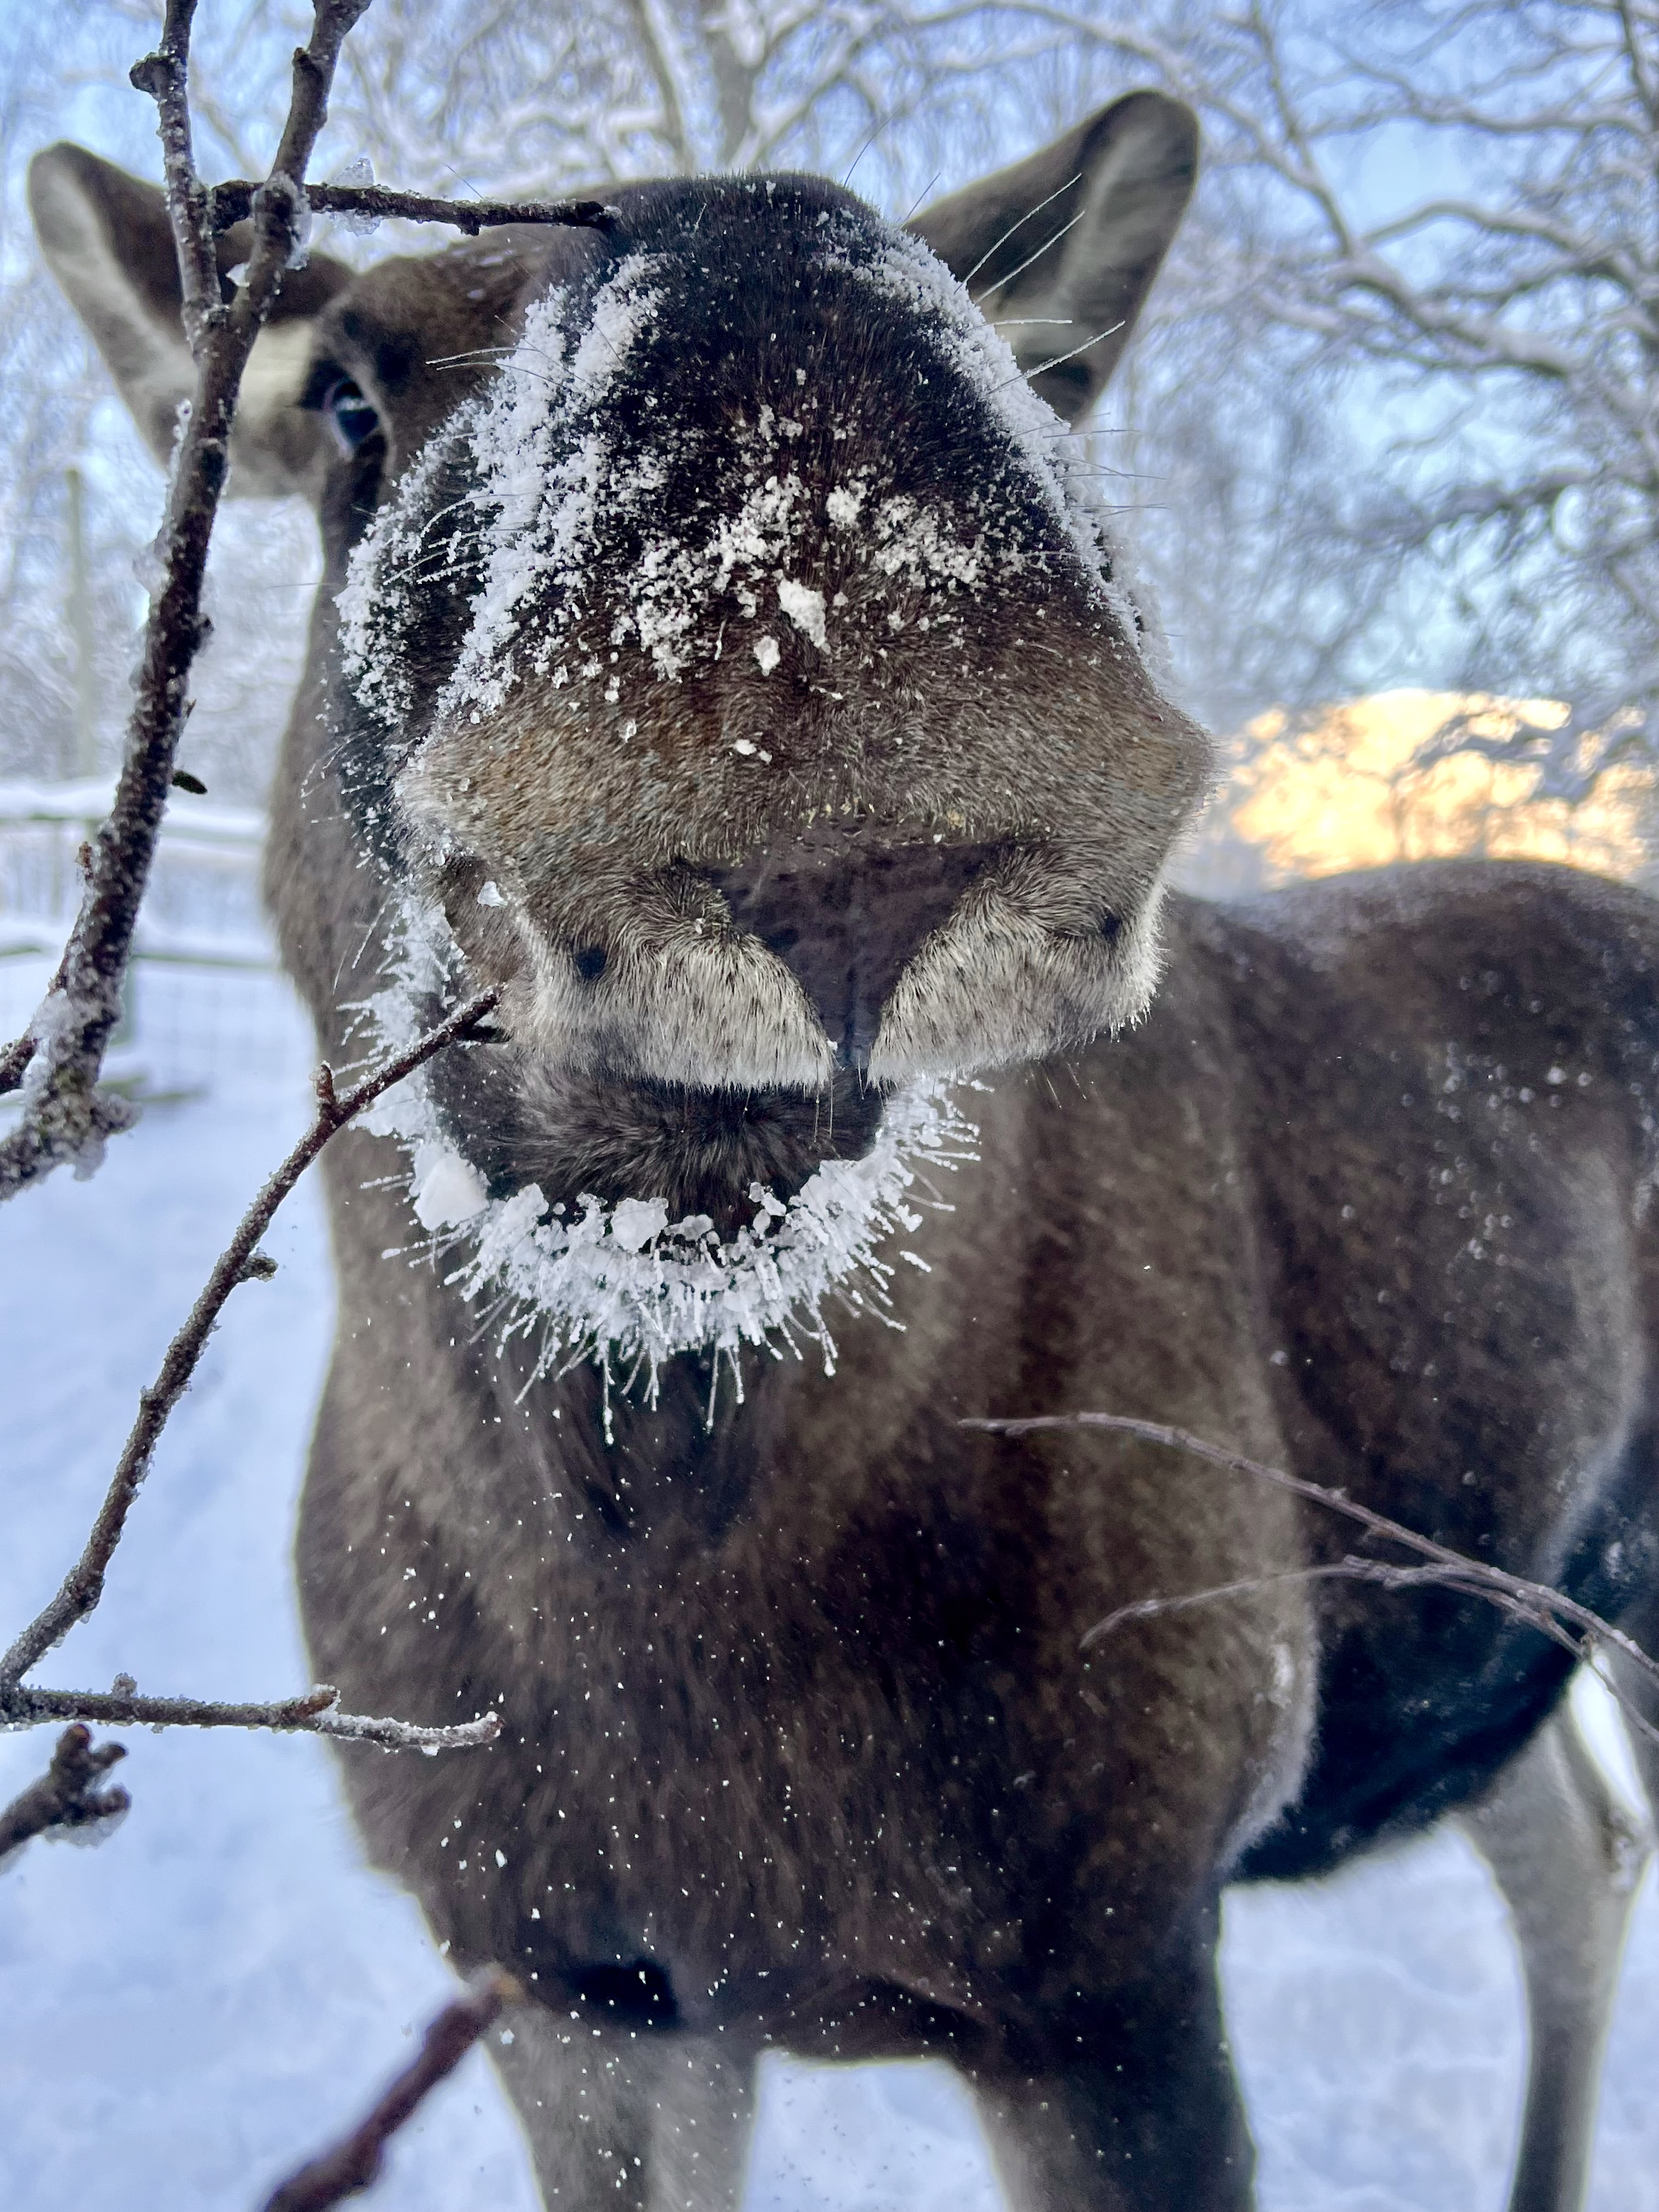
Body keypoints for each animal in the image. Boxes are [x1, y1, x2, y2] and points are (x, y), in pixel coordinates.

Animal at [32, 95, 1659, 2212]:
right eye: (345, 396)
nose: (845, 737)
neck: (651, 1592)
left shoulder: (1112, 1969)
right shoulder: (563, 1978)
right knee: (1569, 1848)